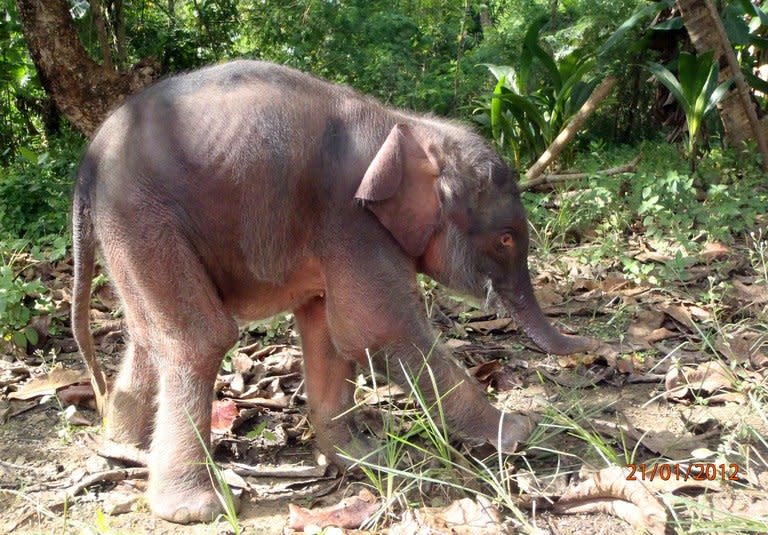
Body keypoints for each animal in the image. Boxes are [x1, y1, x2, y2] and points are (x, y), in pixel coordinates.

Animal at [72, 60, 596, 524]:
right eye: (506, 239)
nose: (599, 348)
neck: (407, 125)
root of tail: (89, 161)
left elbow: (330, 333)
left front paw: (362, 457)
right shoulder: (351, 220)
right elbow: (378, 331)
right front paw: (518, 433)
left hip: (129, 231)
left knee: (149, 335)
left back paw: (124, 449)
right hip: (143, 217)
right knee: (199, 338)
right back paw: (195, 508)